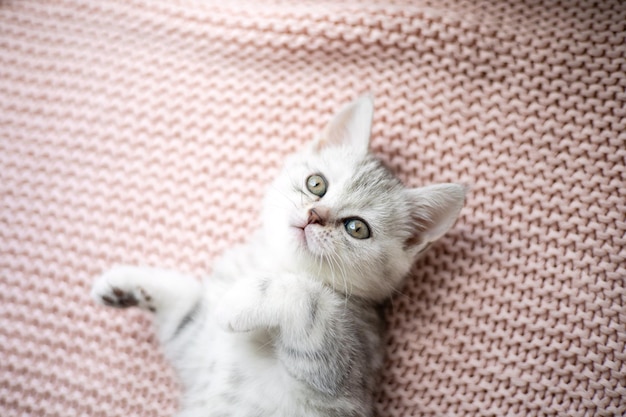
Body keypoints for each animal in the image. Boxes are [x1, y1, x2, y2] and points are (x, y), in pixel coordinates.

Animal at [91, 96, 464, 416]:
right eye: (316, 184)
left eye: (357, 228)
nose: (315, 214)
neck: (272, 264)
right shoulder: (194, 341)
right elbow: (186, 307)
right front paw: (124, 283)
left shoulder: (342, 373)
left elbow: (307, 297)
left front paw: (238, 302)